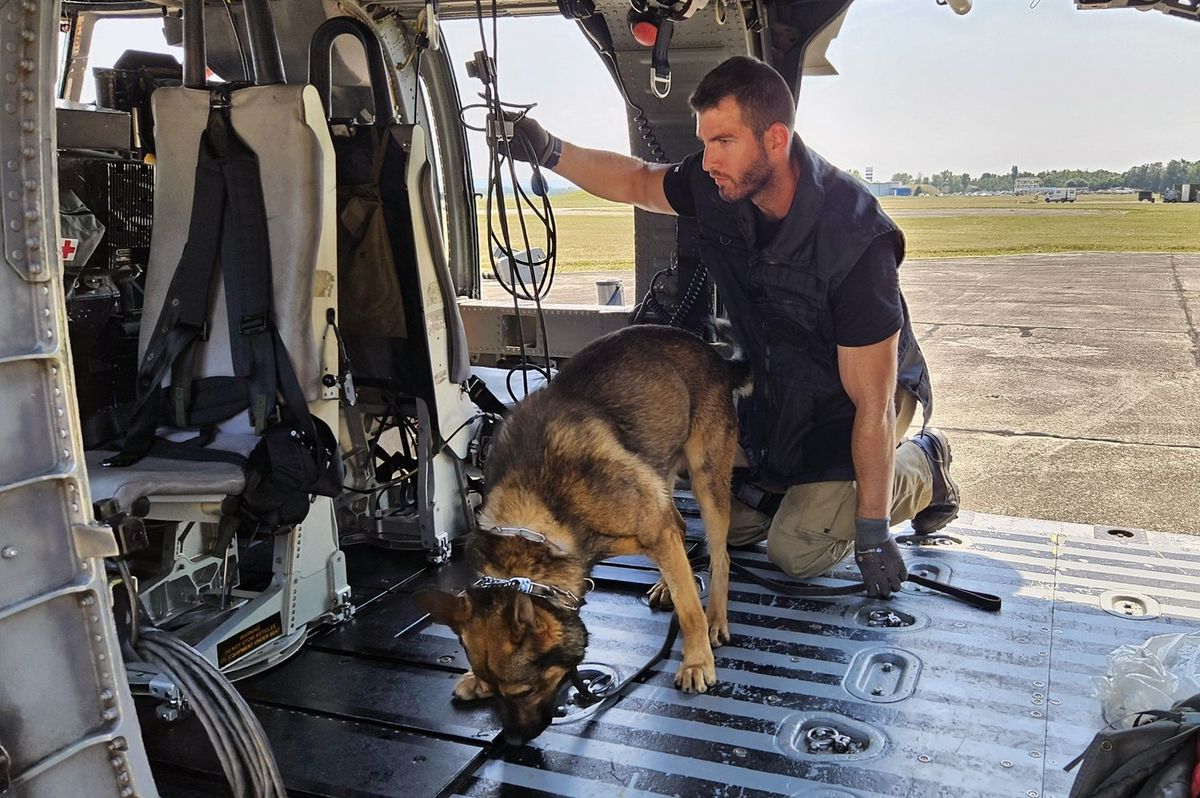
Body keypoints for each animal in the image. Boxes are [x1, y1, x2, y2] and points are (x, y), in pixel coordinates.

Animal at [417, 324, 744, 748]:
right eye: (495, 689)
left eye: (525, 691)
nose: (514, 742)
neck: (537, 516)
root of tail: (713, 354)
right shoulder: (654, 524)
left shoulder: (654, 524)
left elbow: (690, 610)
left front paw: (697, 661)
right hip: (660, 472)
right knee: (683, 530)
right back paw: (666, 586)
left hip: (707, 480)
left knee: (720, 555)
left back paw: (716, 618)